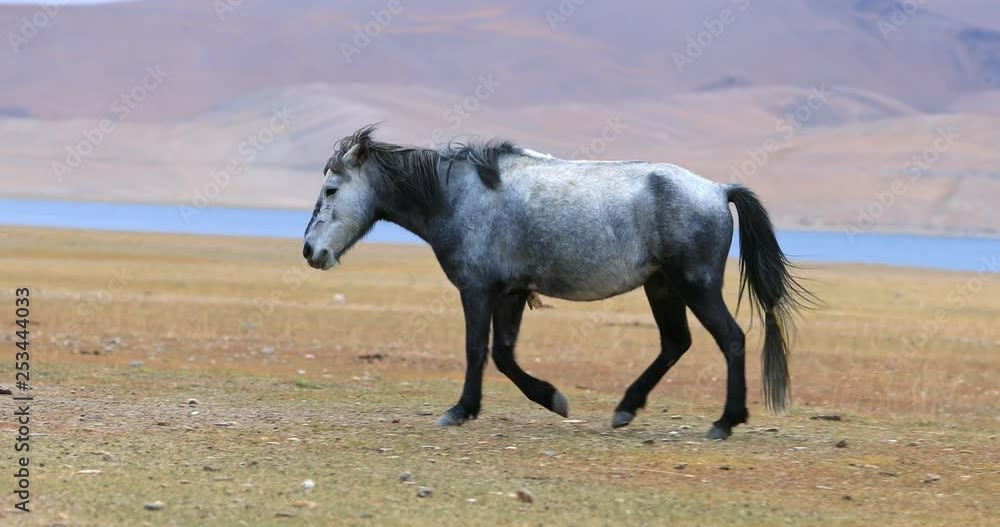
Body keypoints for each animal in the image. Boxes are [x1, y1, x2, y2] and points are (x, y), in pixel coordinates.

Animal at [302, 125, 811, 439]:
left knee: (731, 339)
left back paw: (725, 422)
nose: (309, 251)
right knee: (675, 343)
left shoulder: (477, 290)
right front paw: (553, 399)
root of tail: (719, 190)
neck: (458, 196)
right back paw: (626, 408)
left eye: (331, 189)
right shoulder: (509, 293)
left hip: (696, 285)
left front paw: (460, 410)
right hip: (662, 286)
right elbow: (504, 356)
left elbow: (476, 350)